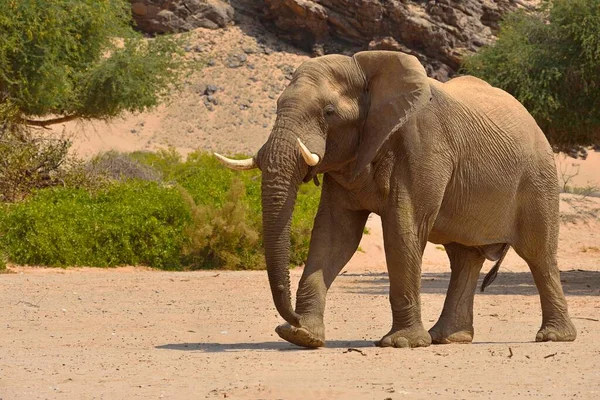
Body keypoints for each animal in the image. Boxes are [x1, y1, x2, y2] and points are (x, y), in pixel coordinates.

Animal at [216, 50, 576, 346]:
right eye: (277, 106)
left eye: (329, 112)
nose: (289, 317)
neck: (366, 70)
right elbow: (335, 235)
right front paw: (302, 336)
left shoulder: (424, 145)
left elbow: (403, 228)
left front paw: (401, 343)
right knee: (464, 258)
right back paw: (448, 338)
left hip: (538, 179)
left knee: (538, 254)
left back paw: (553, 337)